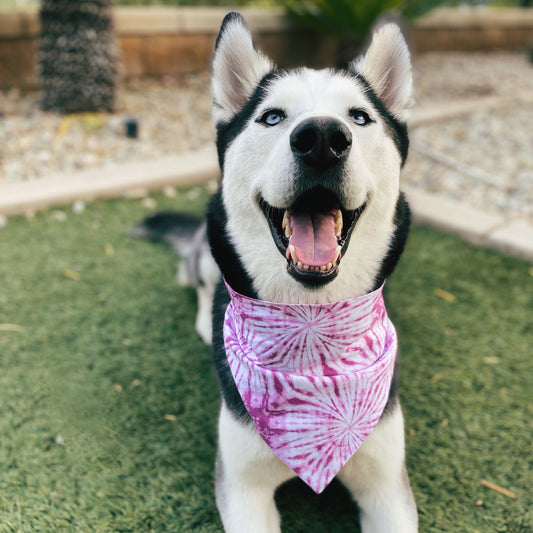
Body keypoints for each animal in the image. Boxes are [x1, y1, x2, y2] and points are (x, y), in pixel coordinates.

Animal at [132, 13, 416, 532]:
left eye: (359, 117)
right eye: (272, 117)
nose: (322, 138)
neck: (311, 328)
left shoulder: (388, 487)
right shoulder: (242, 487)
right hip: (211, 239)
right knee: (197, 275)